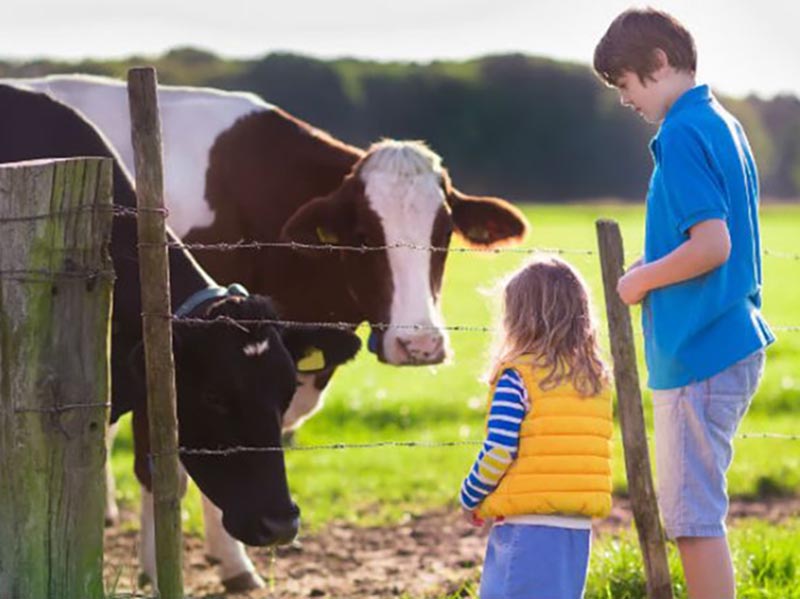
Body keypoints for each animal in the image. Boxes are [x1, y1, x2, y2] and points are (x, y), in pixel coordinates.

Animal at [10, 72, 524, 588]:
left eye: (444, 233)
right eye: (363, 236)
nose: (419, 343)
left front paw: (232, 562)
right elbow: (164, 468)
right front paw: (167, 570)